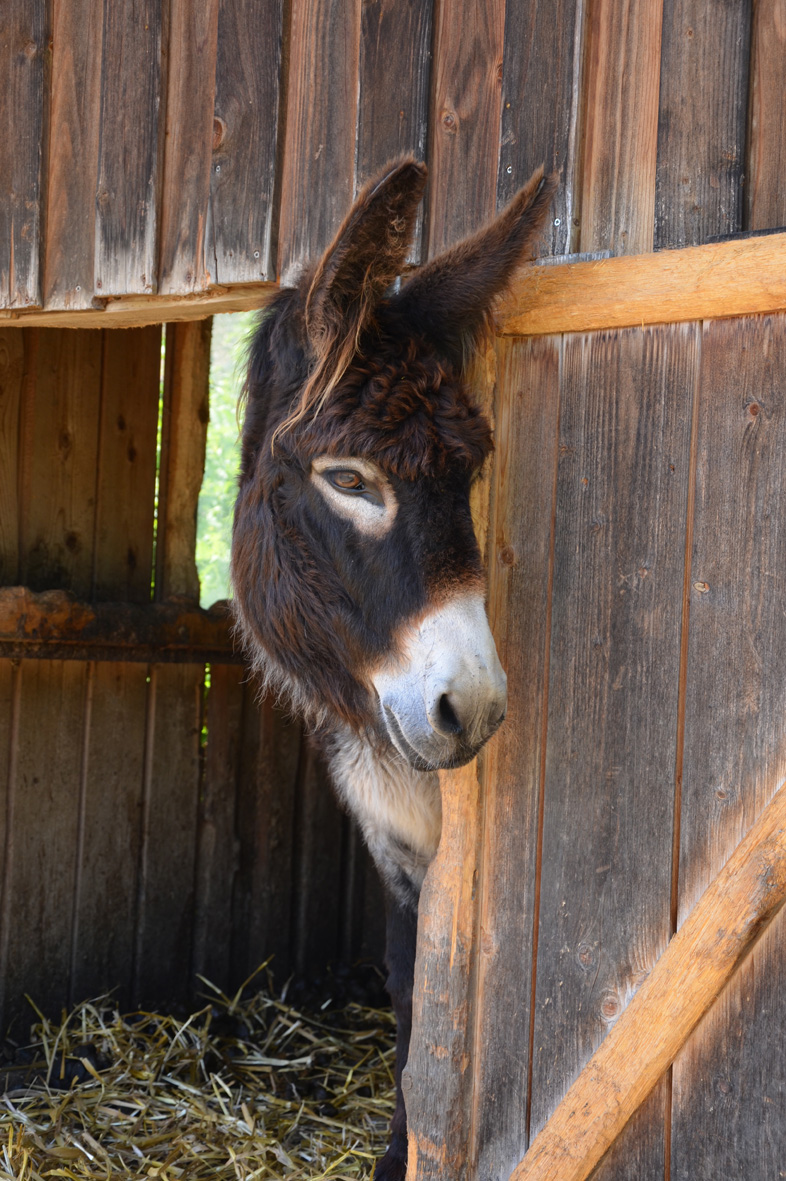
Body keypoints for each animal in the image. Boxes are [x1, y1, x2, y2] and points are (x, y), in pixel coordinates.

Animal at [231, 157, 555, 1180]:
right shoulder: (395, 850)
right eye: (348, 479)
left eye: (471, 471)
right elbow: (415, 999)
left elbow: (432, 1016)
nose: (473, 707)